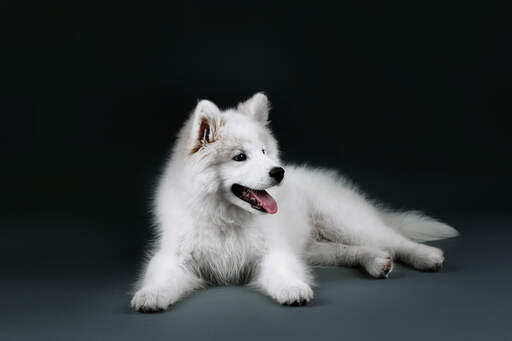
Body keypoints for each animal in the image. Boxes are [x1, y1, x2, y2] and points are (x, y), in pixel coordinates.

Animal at [130, 93, 458, 310]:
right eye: (240, 157)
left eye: (264, 151)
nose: (279, 172)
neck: (226, 219)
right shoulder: (175, 255)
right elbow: (161, 274)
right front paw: (150, 296)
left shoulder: (273, 251)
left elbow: (282, 271)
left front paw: (293, 289)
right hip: (316, 247)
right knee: (352, 250)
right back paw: (377, 262)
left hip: (344, 221)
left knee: (393, 239)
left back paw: (426, 256)